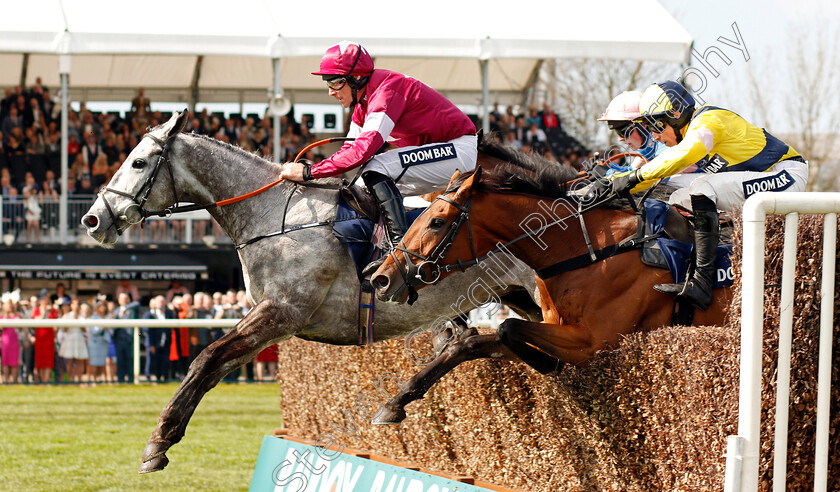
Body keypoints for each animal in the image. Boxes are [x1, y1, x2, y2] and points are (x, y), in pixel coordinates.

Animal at [80, 111, 540, 472]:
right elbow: (215, 366)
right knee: (500, 340)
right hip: (522, 296)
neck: (277, 217)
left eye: (138, 162)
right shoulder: (271, 319)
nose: (92, 219)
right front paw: (164, 438)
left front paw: (157, 441)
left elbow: (205, 359)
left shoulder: (282, 312)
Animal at [370, 142, 732, 422]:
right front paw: (395, 403)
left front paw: (549, 364)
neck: (586, 249)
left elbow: (507, 328)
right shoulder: (550, 324)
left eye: (436, 221)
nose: (380, 278)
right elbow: (473, 343)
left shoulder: (593, 343)